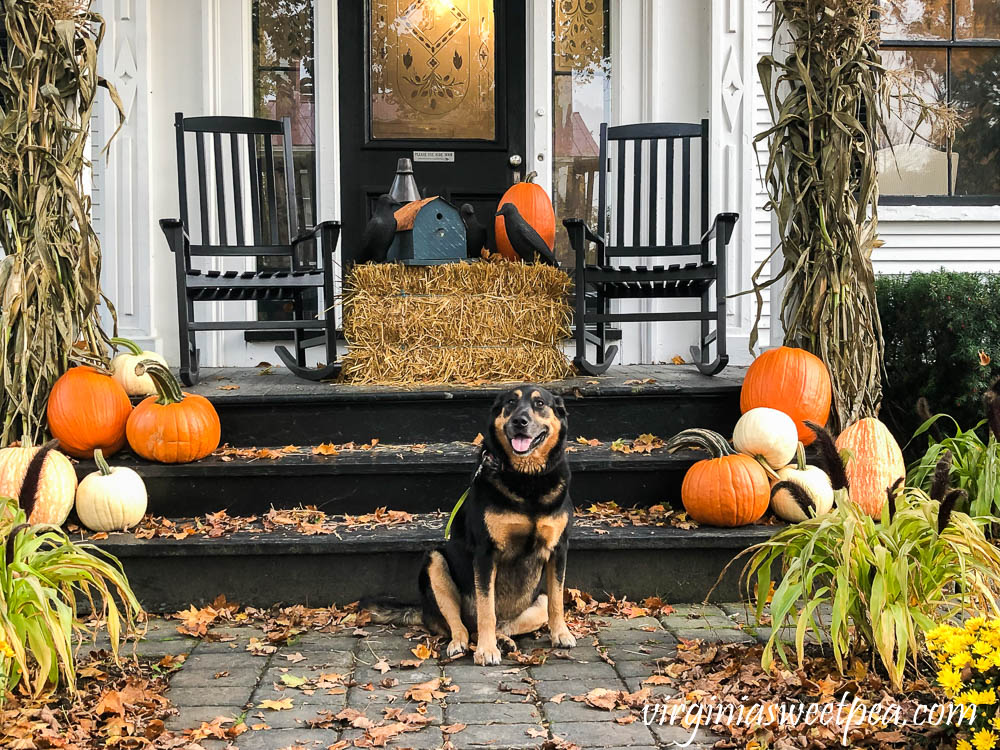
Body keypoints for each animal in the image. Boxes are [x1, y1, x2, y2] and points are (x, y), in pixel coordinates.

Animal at [418, 388, 576, 664]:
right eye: (510, 402)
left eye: (540, 403)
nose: (520, 421)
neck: (526, 479)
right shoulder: (486, 552)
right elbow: (486, 609)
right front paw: (486, 650)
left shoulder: (558, 548)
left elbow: (557, 601)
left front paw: (561, 635)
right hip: (434, 562)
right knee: (460, 625)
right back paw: (463, 643)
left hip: (537, 603)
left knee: (508, 623)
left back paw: (504, 641)